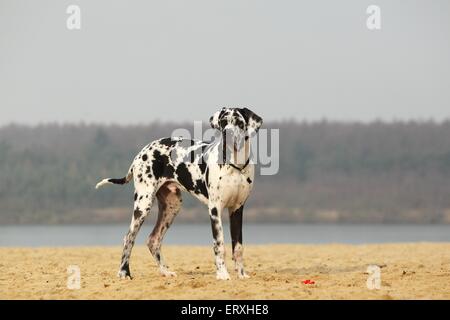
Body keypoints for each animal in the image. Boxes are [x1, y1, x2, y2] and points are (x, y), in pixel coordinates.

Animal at [96, 108, 262, 280]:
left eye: (239, 122)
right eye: (223, 122)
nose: (227, 134)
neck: (235, 165)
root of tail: (141, 152)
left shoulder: (237, 209)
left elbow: (238, 247)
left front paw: (241, 274)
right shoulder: (215, 209)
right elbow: (219, 244)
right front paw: (222, 274)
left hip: (172, 207)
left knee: (153, 240)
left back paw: (165, 271)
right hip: (143, 205)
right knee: (128, 238)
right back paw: (124, 272)